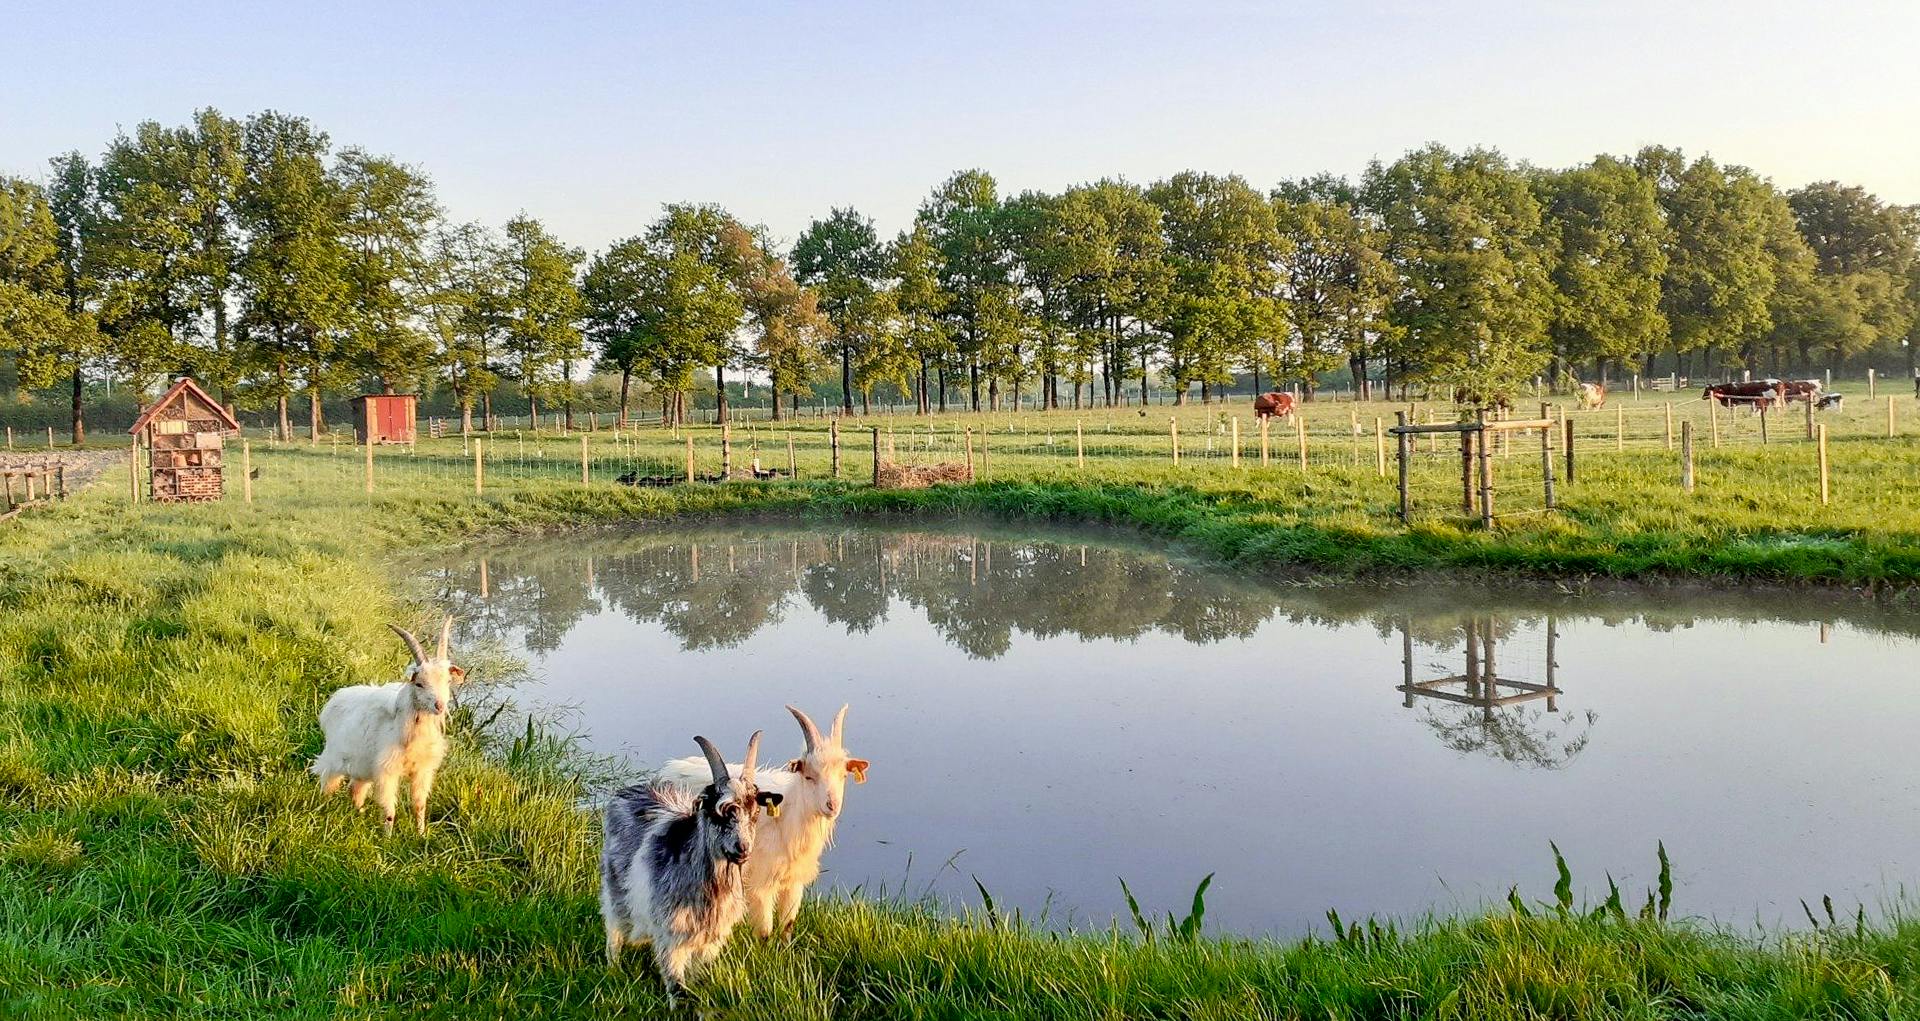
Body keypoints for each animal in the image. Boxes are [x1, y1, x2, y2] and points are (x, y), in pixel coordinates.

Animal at [314, 617, 468, 832]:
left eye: (447, 682)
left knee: (355, 790)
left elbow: (419, 805)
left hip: (362, 768)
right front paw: (387, 837)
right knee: (327, 780)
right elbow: (389, 811)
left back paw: (359, 814)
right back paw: (324, 807)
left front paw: (421, 834)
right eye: (419, 683)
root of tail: (334, 700)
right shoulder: (387, 771)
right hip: (334, 758)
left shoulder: (422, 770)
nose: (439, 706)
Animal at [599, 733, 779, 997]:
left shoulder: (709, 942)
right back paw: (613, 970)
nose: (743, 848)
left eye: (756, 813)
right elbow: (678, 989)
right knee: (613, 930)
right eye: (719, 811)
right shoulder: (671, 937)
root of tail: (632, 790)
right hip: (614, 893)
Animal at [660, 706, 871, 936]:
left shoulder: (793, 883)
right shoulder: (761, 885)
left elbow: (787, 925)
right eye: (809, 776)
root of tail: (668, 769)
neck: (787, 819)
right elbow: (764, 931)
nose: (832, 805)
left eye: (843, 776)